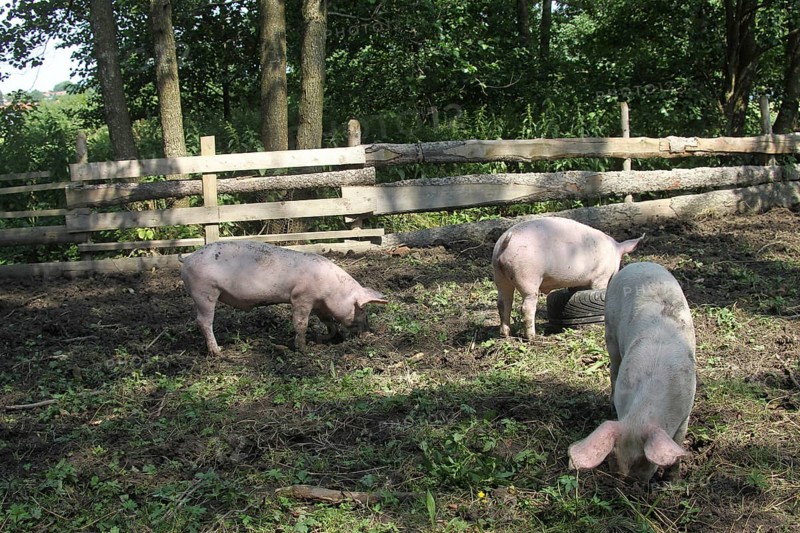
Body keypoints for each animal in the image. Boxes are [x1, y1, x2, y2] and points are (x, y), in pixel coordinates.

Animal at [179, 241, 387, 354]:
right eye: (361, 308)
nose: (369, 333)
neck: (332, 290)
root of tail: (187, 258)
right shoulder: (301, 298)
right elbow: (301, 323)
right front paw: (303, 349)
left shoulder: (319, 305)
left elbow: (329, 322)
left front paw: (322, 338)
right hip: (204, 291)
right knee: (203, 321)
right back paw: (217, 351)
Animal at [491, 217, 643, 339]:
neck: (613, 252)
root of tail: (505, 243)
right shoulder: (600, 277)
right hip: (528, 276)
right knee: (526, 307)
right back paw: (532, 337)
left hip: (499, 276)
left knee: (503, 303)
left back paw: (505, 334)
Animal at [568, 262, 696, 483]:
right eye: (613, 453)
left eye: (645, 460)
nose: (628, 480)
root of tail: (639, 264)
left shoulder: (685, 412)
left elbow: (679, 443)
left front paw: (672, 482)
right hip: (610, 327)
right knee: (613, 366)